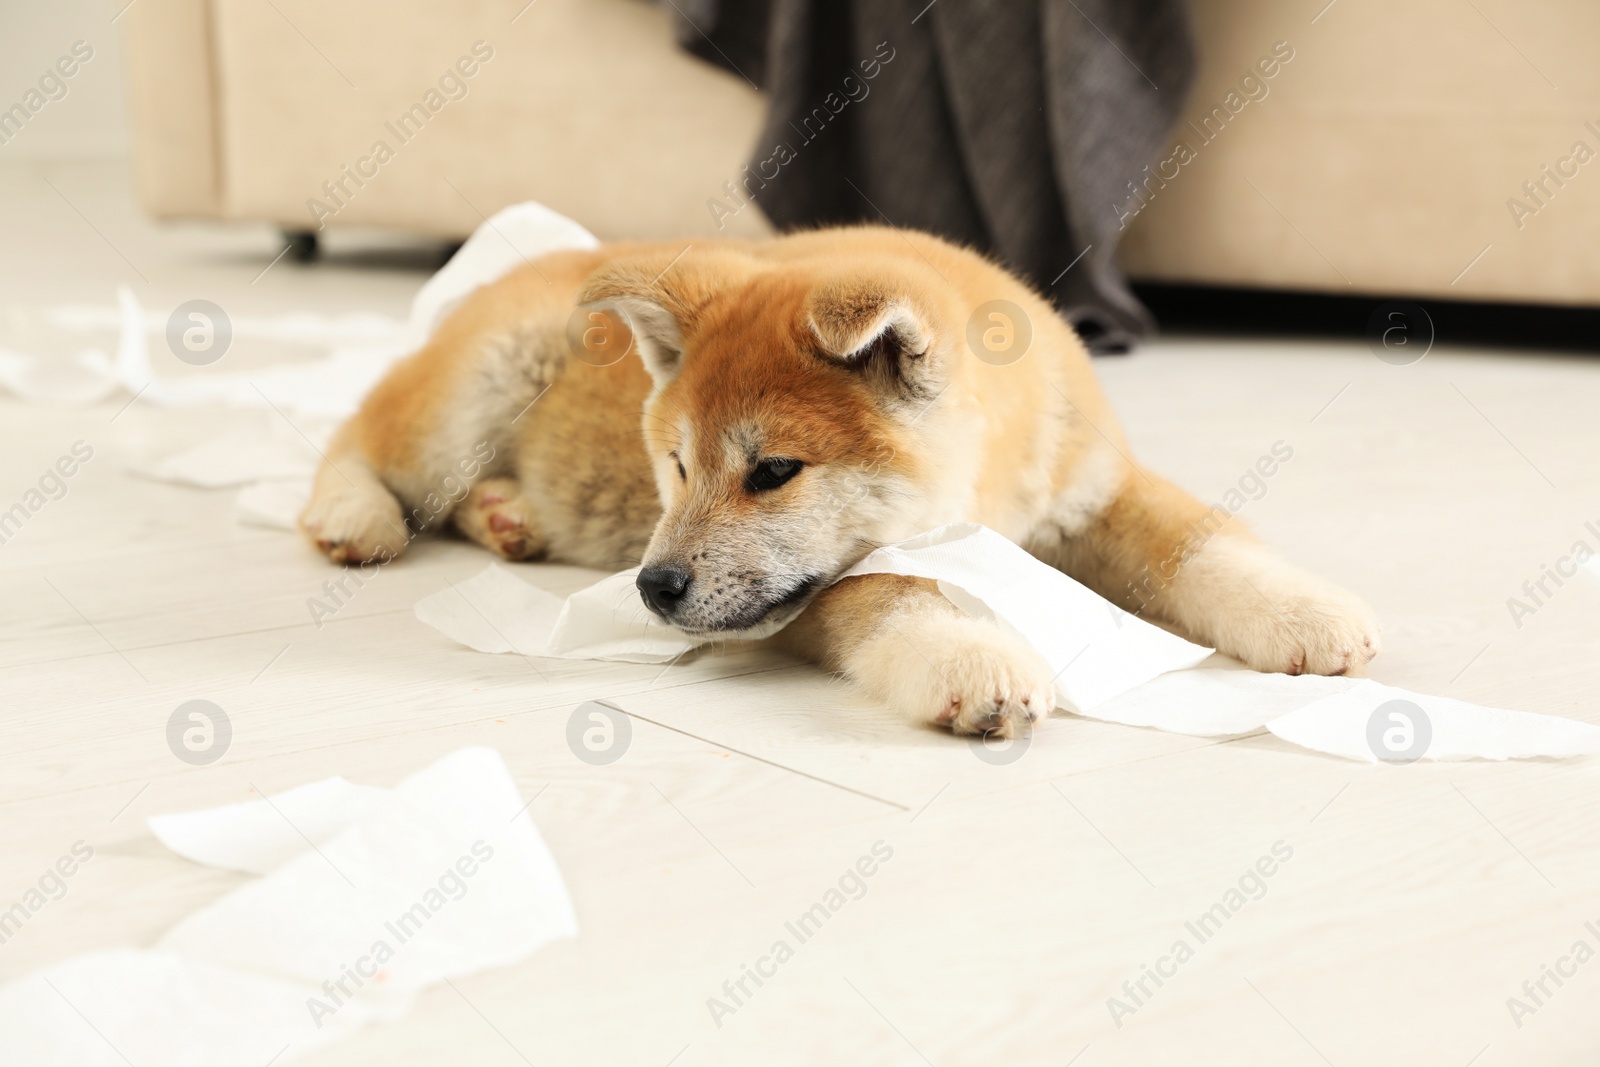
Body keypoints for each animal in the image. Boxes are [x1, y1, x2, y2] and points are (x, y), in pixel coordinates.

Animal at [305, 230, 1382, 739]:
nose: (653, 586)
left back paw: (508, 514)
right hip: (468, 399)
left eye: (772, 472)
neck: (986, 489)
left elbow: (1202, 541)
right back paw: (353, 514)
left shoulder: (1094, 487)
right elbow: (895, 595)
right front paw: (970, 658)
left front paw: (1301, 611)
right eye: (677, 466)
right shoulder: (820, 588)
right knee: (356, 437)